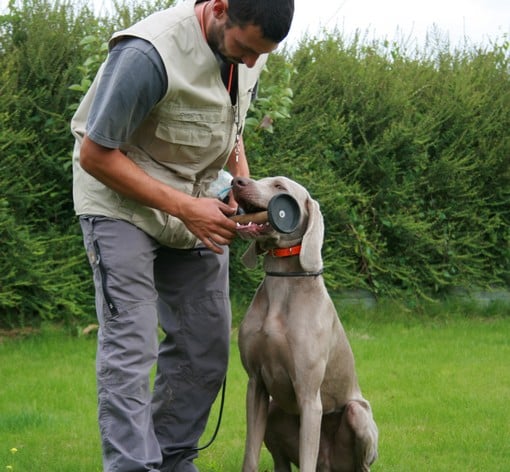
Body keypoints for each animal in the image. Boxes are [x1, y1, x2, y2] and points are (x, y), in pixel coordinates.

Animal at [232, 177, 378, 472]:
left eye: (279, 186)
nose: (238, 181)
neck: (282, 286)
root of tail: (329, 465)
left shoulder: (310, 395)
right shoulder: (255, 383)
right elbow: (250, 455)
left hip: (358, 414)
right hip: (275, 409)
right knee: (282, 462)